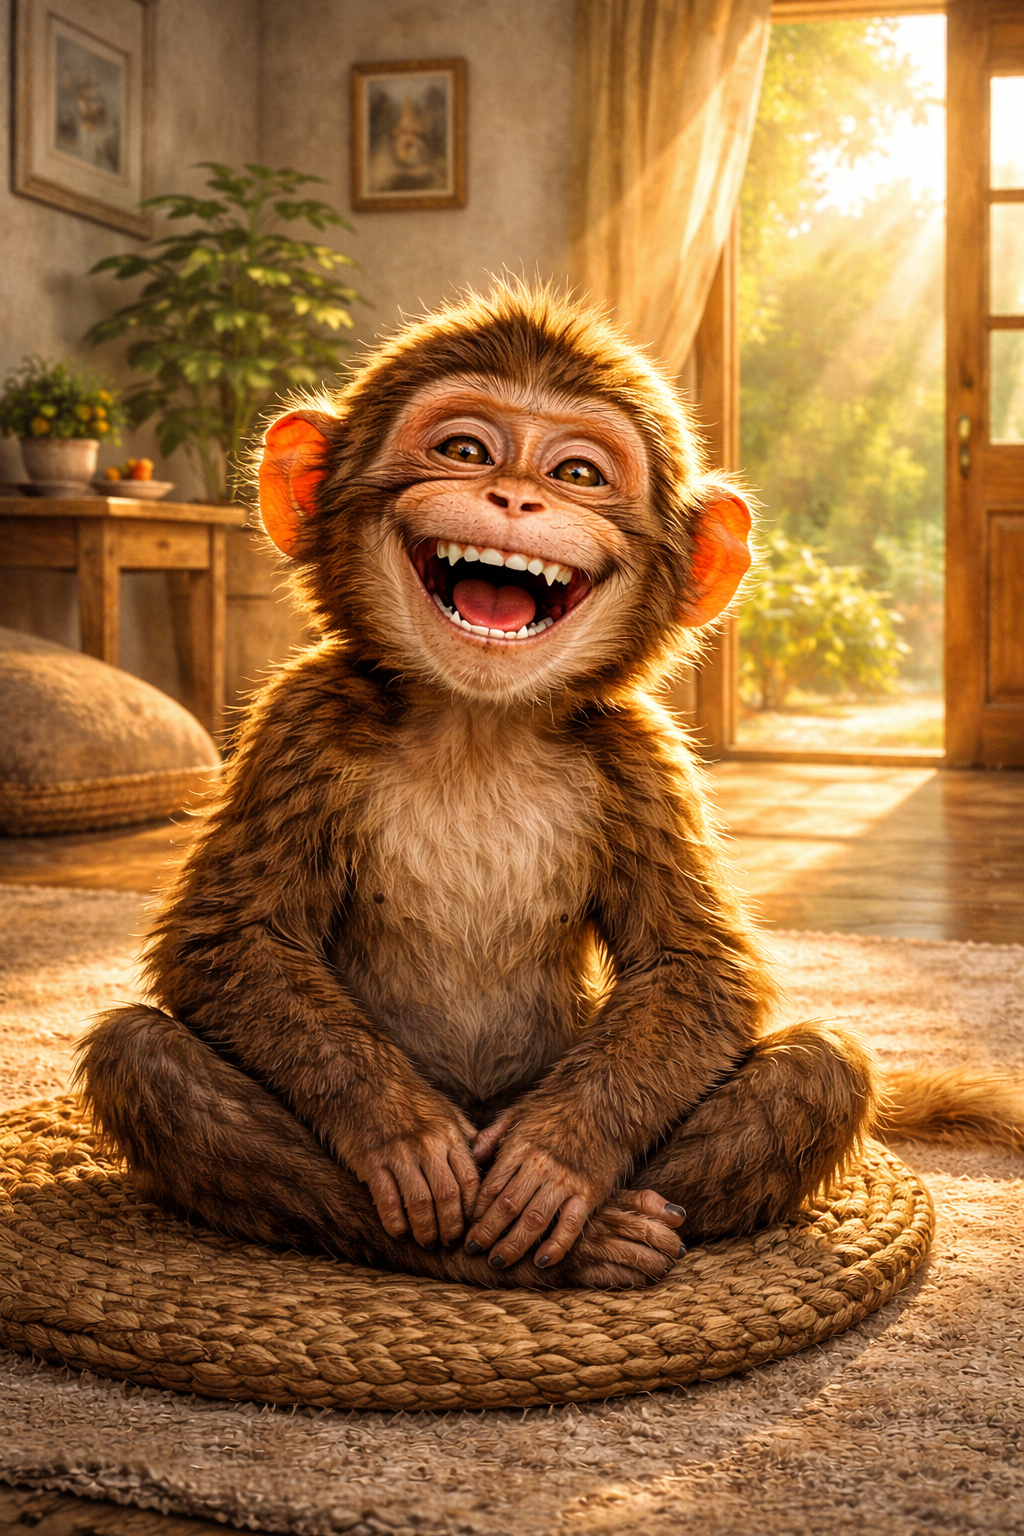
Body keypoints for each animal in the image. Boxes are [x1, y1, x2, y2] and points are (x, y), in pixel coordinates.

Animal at [76, 283, 1023, 1290]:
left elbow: (695, 965)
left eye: (578, 473)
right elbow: (232, 938)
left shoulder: (641, 757)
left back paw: (600, 1227)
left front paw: (558, 1161)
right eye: (464, 451)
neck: (477, 726)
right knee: (145, 1058)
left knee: (819, 1070)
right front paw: (400, 1135)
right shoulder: (304, 721)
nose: (516, 494)